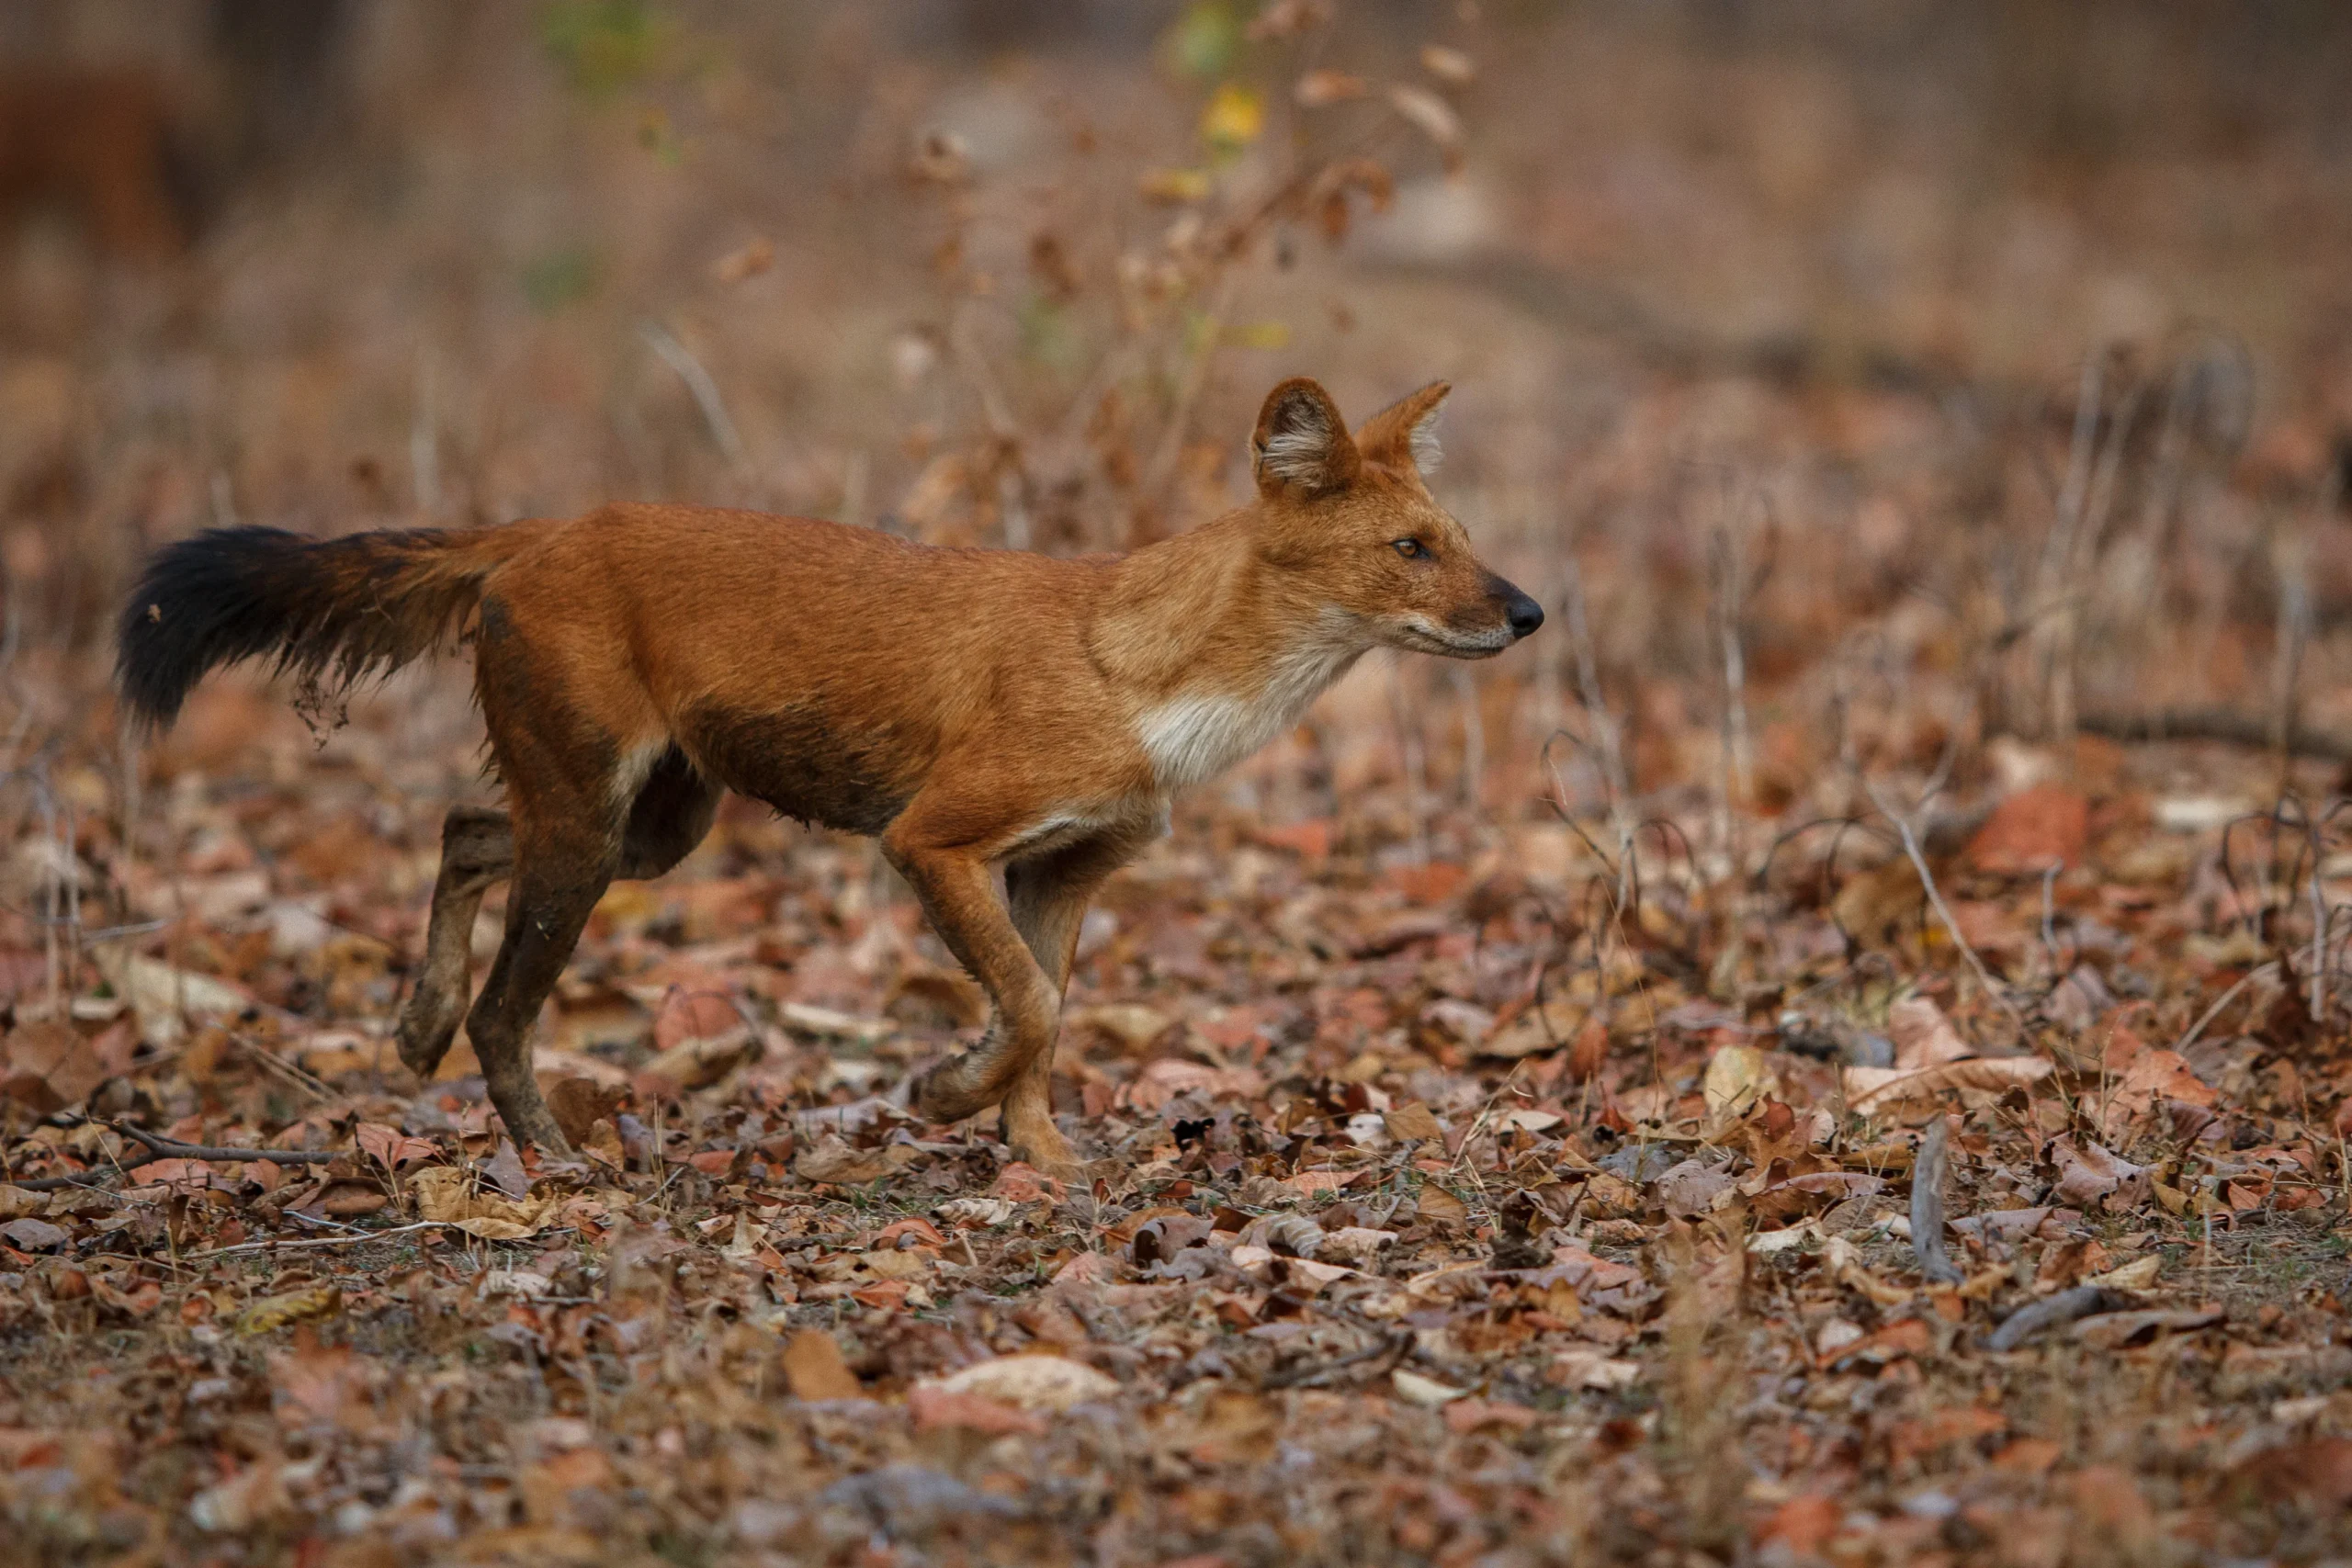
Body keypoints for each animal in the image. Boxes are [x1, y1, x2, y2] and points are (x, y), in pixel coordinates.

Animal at [116, 377, 1543, 1176]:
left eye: (1464, 538)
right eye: (1411, 549)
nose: (1527, 612)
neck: (1150, 673)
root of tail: (546, 525)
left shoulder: (1065, 868)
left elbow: (1049, 1017)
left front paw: (1040, 1158)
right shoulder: (933, 840)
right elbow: (1029, 1007)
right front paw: (947, 1091)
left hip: (651, 824)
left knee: (466, 824)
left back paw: (413, 1025)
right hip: (590, 834)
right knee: (503, 1008)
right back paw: (550, 1163)